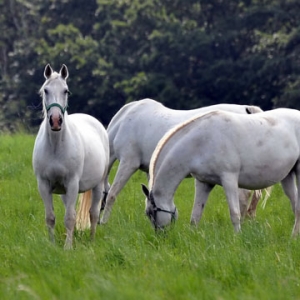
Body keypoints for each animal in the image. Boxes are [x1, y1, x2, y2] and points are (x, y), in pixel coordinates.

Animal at [32, 64, 109, 250]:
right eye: (45, 90)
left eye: (65, 91)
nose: (55, 121)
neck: (55, 146)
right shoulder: (44, 184)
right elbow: (50, 218)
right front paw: (53, 245)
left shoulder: (73, 183)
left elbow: (70, 218)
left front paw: (67, 248)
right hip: (64, 193)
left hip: (97, 186)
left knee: (93, 214)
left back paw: (91, 241)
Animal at [76, 98, 266, 227]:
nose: (93, 218)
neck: (124, 121)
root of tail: (248, 110)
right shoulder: (149, 170)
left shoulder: (128, 163)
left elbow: (113, 194)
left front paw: (104, 222)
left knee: (244, 196)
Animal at [142, 109, 300, 236]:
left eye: (151, 213)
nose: (160, 237)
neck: (201, 141)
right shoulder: (203, 183)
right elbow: (195, 215)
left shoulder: (229, 179)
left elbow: (235, 213)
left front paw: (237, 239)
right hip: (287, 177)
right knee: (295, 206)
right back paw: (293, 237)